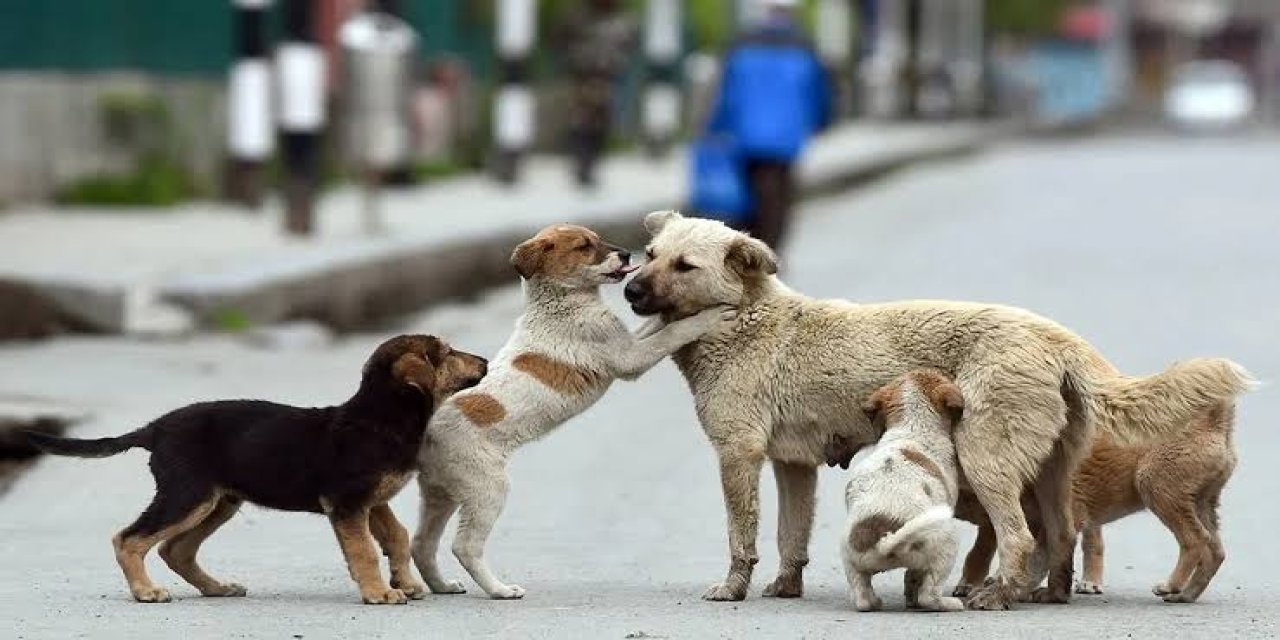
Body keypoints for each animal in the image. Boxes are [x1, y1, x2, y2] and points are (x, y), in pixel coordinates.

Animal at [26, 335, 483, 604]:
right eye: (447, 354)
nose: (483, 361)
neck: (380, 417)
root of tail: (155, 428)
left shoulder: (372, 502)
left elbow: (397, 537)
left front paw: (405, 583)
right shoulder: (348, 504)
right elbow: (365, 552)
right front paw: (378, 593)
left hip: (218, 502)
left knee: (176, 549)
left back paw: (217, 588)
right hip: (187, 495)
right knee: (130, 538)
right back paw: (145, 591)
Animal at [409, 225, 732, 599]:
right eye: (584, 246)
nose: (626, 254)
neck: (561, 302)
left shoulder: (627, 342)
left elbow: (655, 327)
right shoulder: (629, 358)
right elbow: (670, 334)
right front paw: (709, 315)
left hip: (441, 493)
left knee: (421, 544)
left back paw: (443, 586)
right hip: (487, 488)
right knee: (464, 546)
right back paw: (500, 590)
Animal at [839, 371, 962, 614]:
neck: (912, 427)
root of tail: (884, 542)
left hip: (849, 558)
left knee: (862, 597)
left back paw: (874, 602)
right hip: (947, 545)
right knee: (929, 595)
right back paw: (948, 604)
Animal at [957, 401, 1233, 601]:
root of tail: (1215, 421)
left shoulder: (1065, 517)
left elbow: (1043, 557)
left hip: (1157, 489)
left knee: (1195, 541)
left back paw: (1171, 586)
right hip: (1202, 503)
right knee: (1216, 551)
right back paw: (1186, 594)